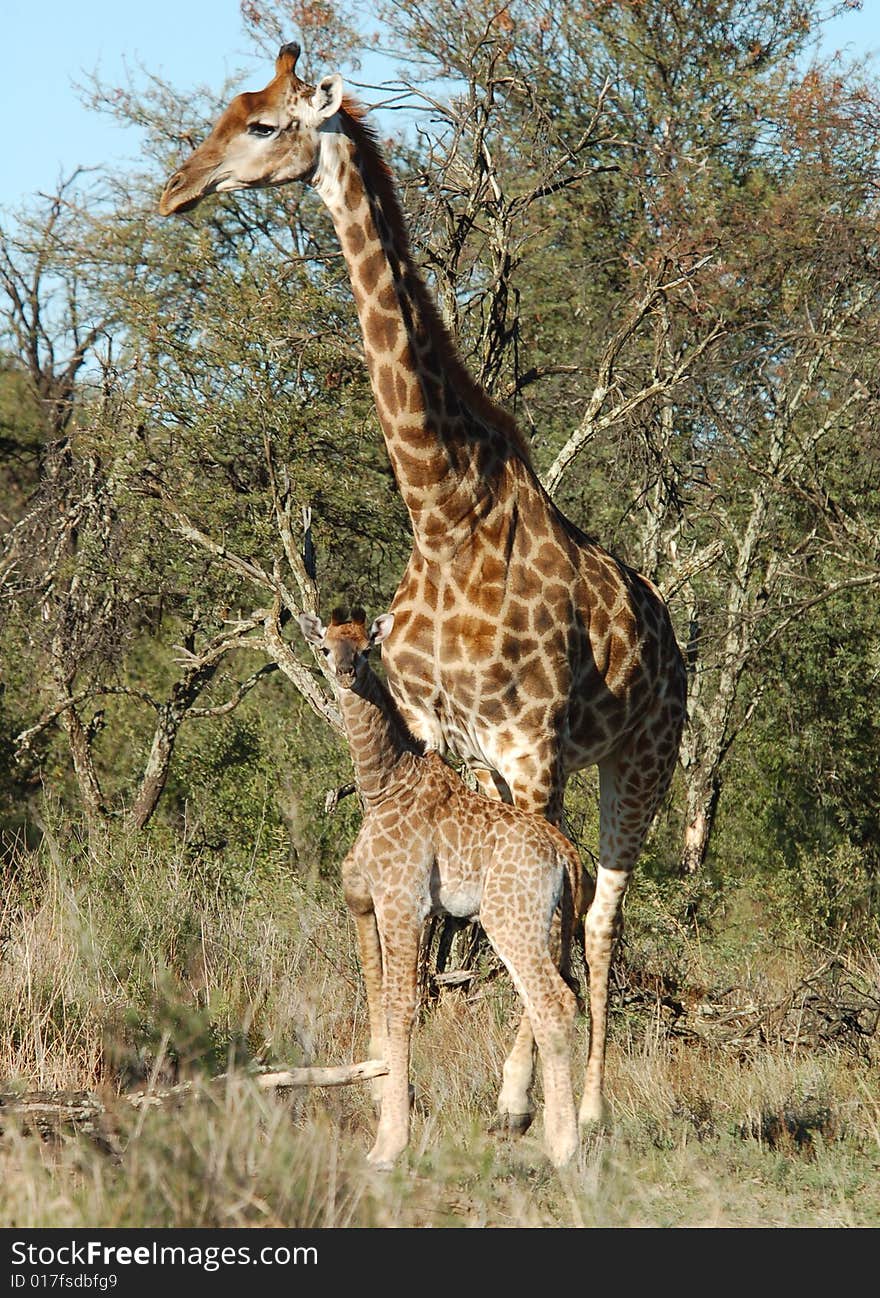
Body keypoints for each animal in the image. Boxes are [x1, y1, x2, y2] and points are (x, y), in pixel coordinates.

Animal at [298, 604, 586, 1168]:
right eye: (326, 646)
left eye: (366, 647)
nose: (344, 672)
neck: (384, 784)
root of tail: (565, 854)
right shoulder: (364, 901)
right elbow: (375, 995)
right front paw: (383, 1095)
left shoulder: (403, 902)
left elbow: (401, 1005)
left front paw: (389, 1143)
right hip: (548, 925)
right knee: (552, 1002)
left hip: (509, 918)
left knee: (555, 1004)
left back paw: (563, 1148)